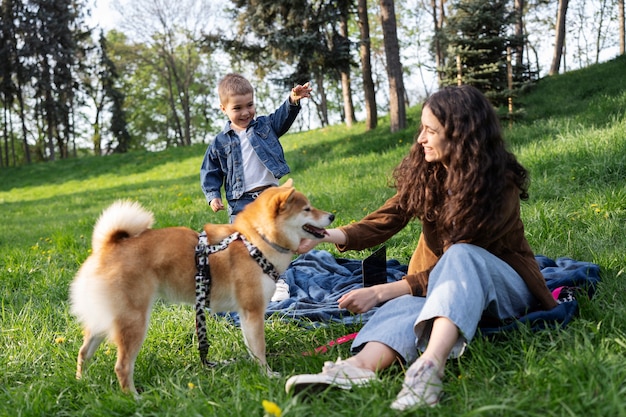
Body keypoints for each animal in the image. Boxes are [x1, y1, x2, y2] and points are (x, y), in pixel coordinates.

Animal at [69, 180, 334, 394]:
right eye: (307, 209)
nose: (331, 216)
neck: (256, 241)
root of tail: (108, 245)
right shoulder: (253, 309)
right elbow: (260, 348)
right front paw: (268, 376)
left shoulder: (245, 313)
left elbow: (252, 347)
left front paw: (258, 370)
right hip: (133, 321)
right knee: (122, 366)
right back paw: (134, 398)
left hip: (106, 319)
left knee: (83, 352)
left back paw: (82, 381)